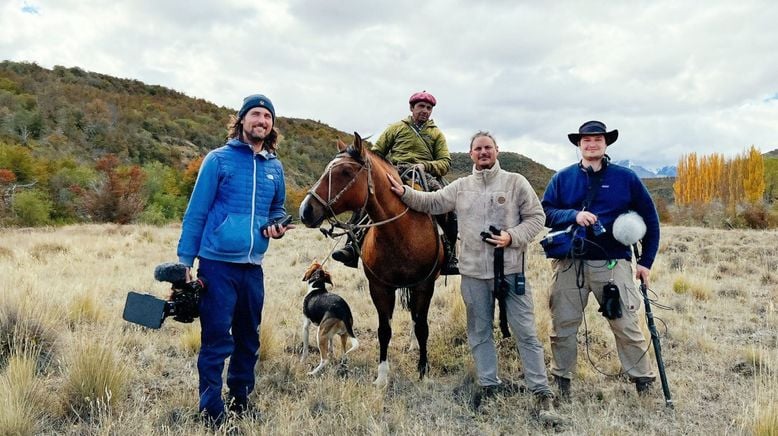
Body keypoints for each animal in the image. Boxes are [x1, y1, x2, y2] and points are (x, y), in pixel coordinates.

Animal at [298, 133, 442, 384]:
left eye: (346, 171)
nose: (305, 210)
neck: (400, 231)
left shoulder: (424, 286)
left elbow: (423, 327)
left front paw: (423, 371)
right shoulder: (379, 287)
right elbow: (384, 330)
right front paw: (382, 376)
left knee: (417, 320)